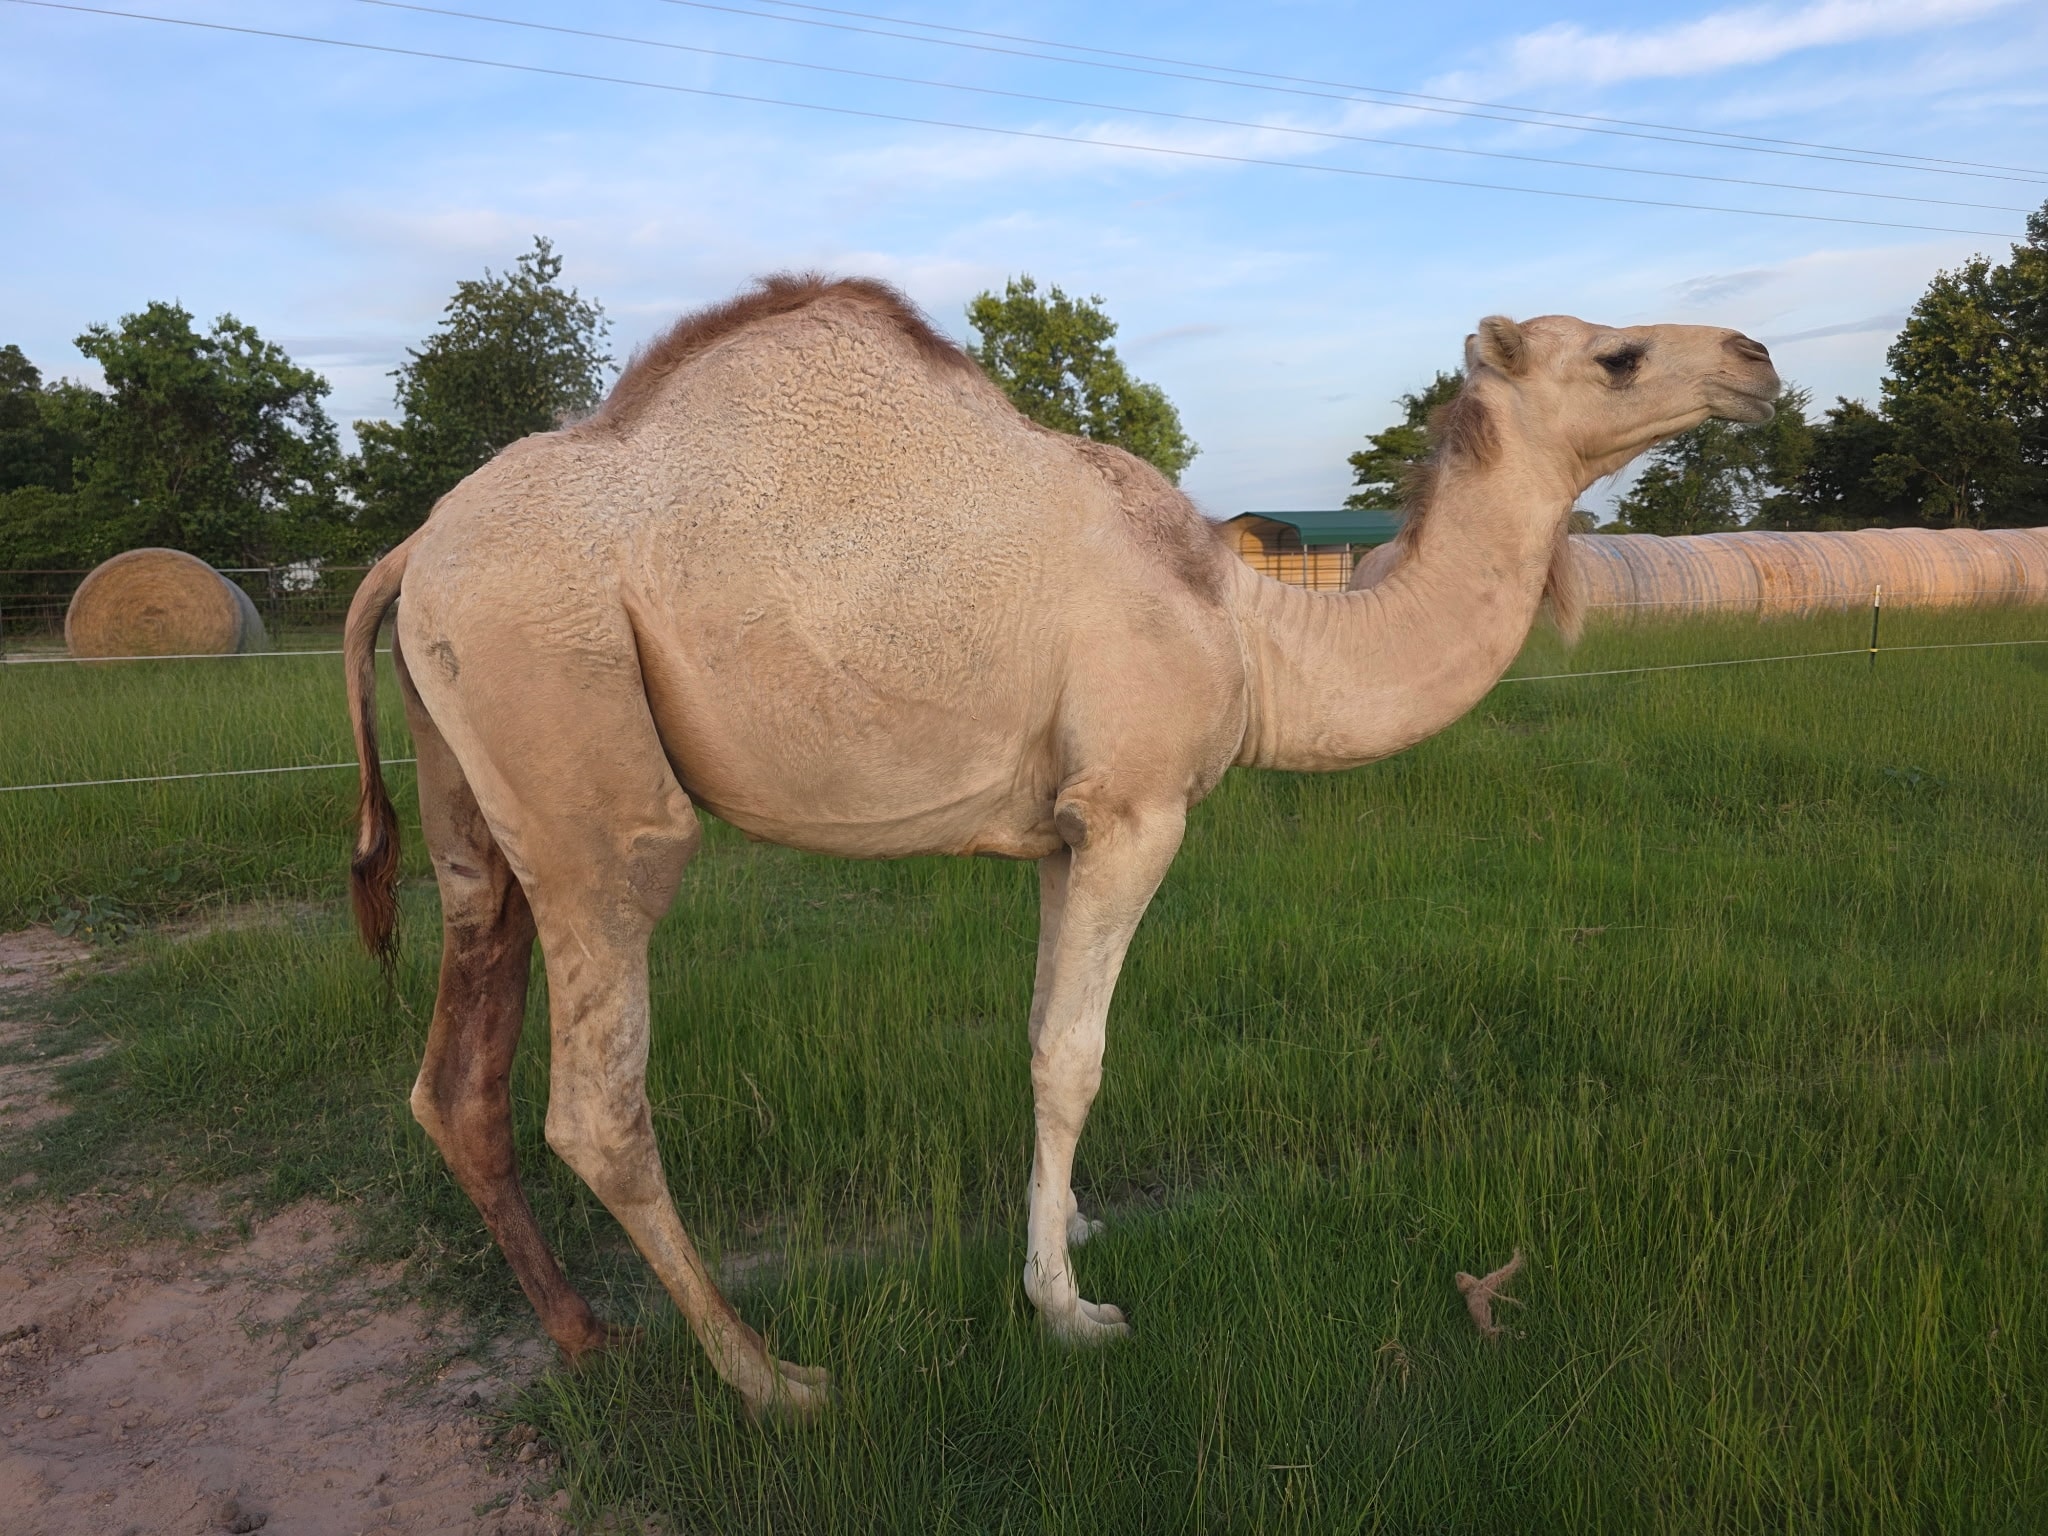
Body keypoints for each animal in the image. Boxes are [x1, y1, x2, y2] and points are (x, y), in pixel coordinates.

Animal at [342, 275, 1779, 1414]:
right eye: (1617, 355)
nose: (1757, 358)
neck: (1254, 630)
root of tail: (412, 551)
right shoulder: (1138, 806)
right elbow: (1074, 1055)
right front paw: (1067, 1308)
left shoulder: (1057, 830)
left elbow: (1038, 1029)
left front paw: (1064, 1227)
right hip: (579, 750)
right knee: (598, 1090)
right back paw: (771, 1378)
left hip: (475, 793)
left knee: (458, 1063)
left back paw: (586, 1336)